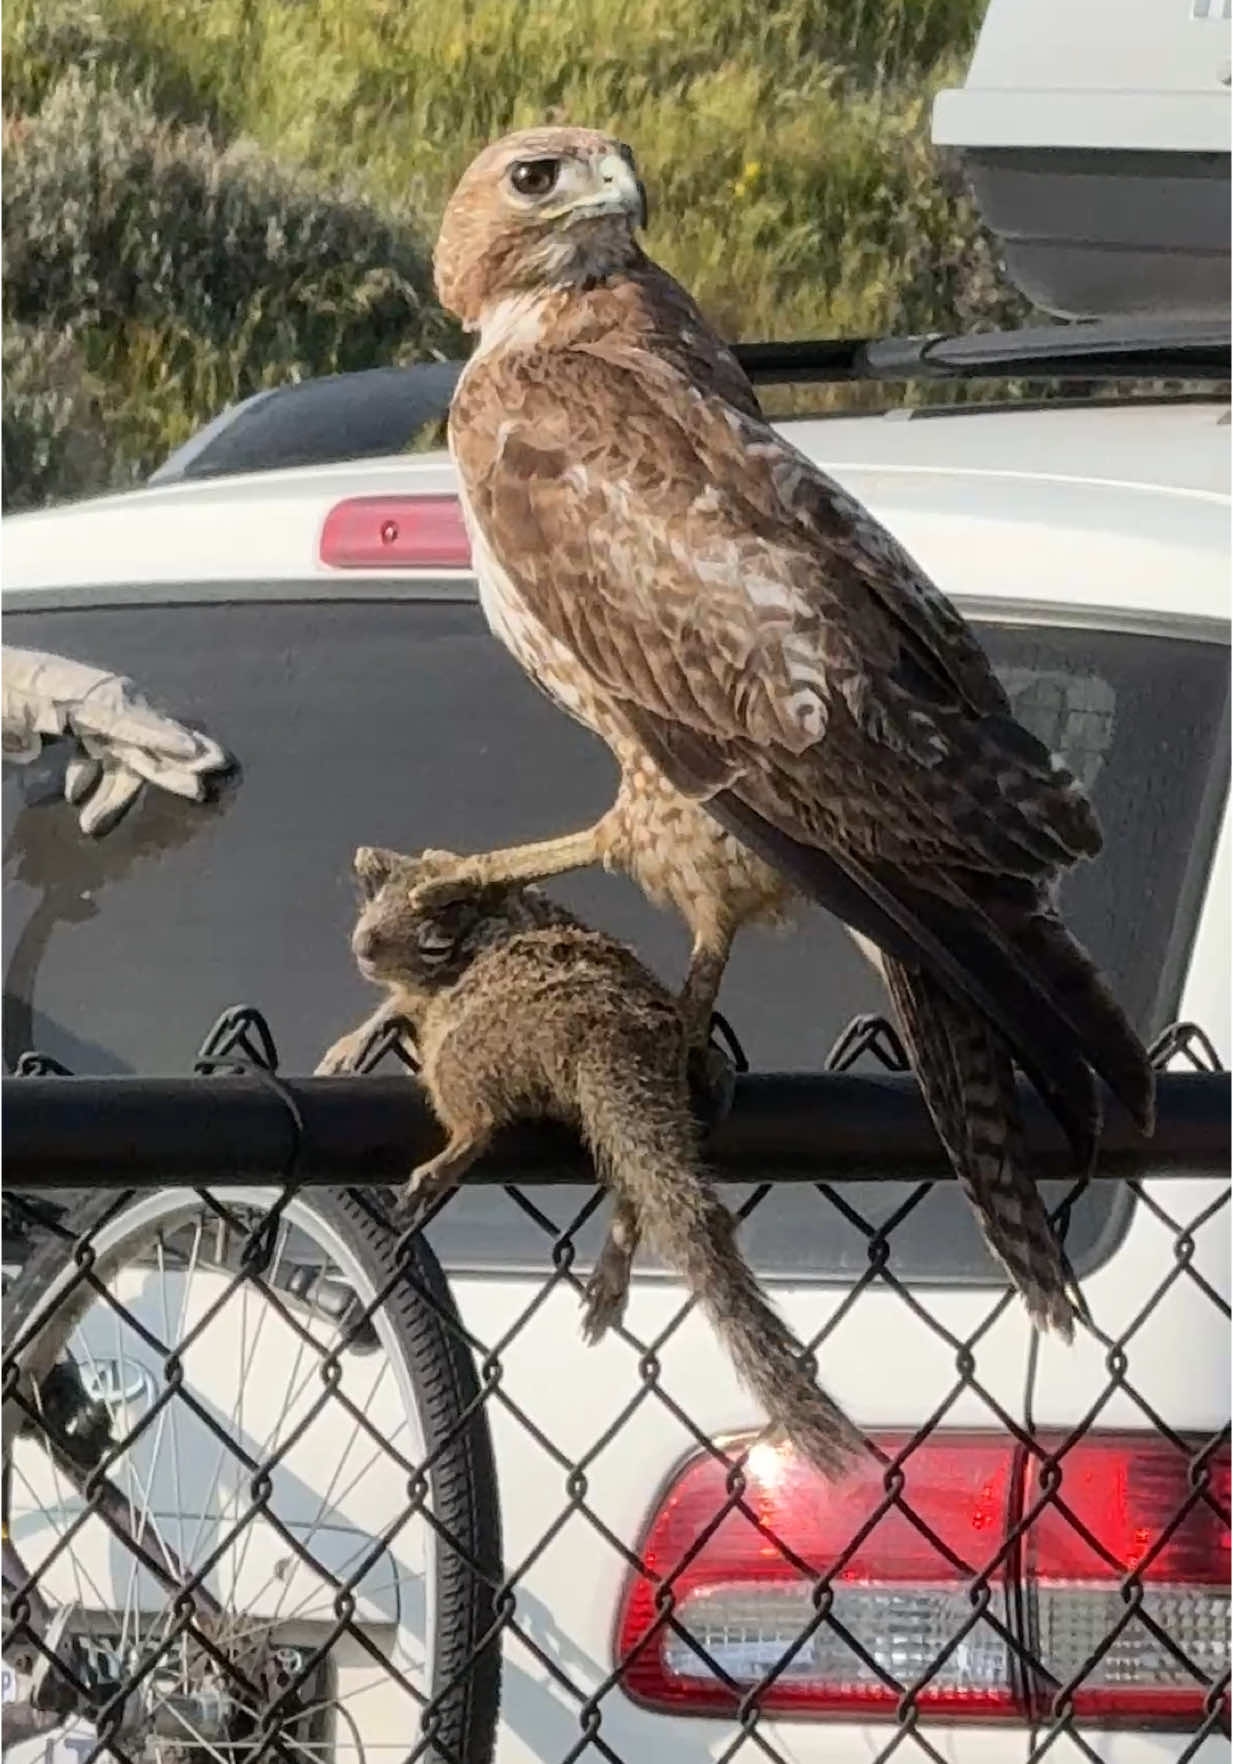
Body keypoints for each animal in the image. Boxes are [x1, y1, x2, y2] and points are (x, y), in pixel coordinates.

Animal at [317, 844, 862, 1479]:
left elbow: (398, 1005)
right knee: (634, 1186)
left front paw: (354, 1041)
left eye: (435, 940)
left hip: (470, 1047)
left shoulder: (436, 987)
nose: (364, 946)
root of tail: (606, 1034)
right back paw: (614, 1259)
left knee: (478, 1117)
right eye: (371, 897)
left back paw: (455, 1151)